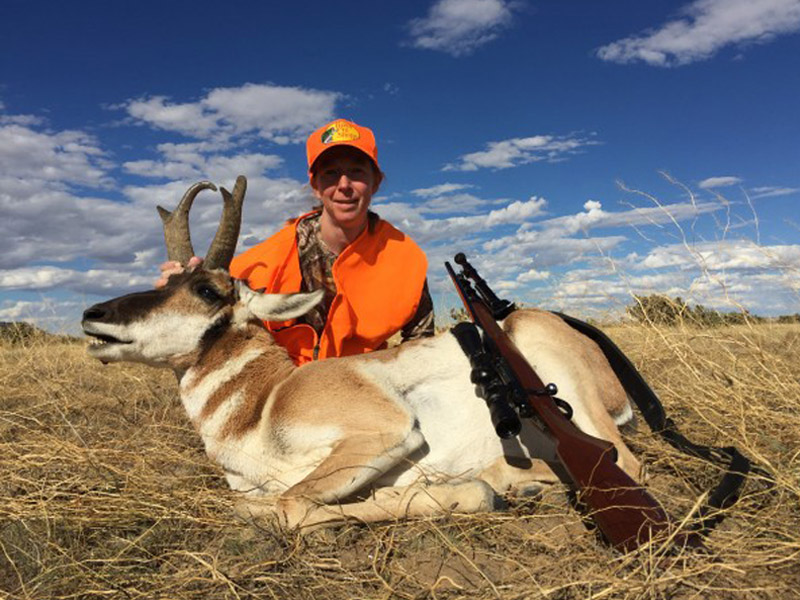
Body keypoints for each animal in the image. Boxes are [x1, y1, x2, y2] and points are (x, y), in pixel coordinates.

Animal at [81, 178, 640, 528]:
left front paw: (451, 492)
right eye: (166, 282)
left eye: (205, 290)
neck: (266, 400)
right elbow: (258, 503)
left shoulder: (387, 431)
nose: (93, 313)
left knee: (625, 462)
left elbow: (289, 505)